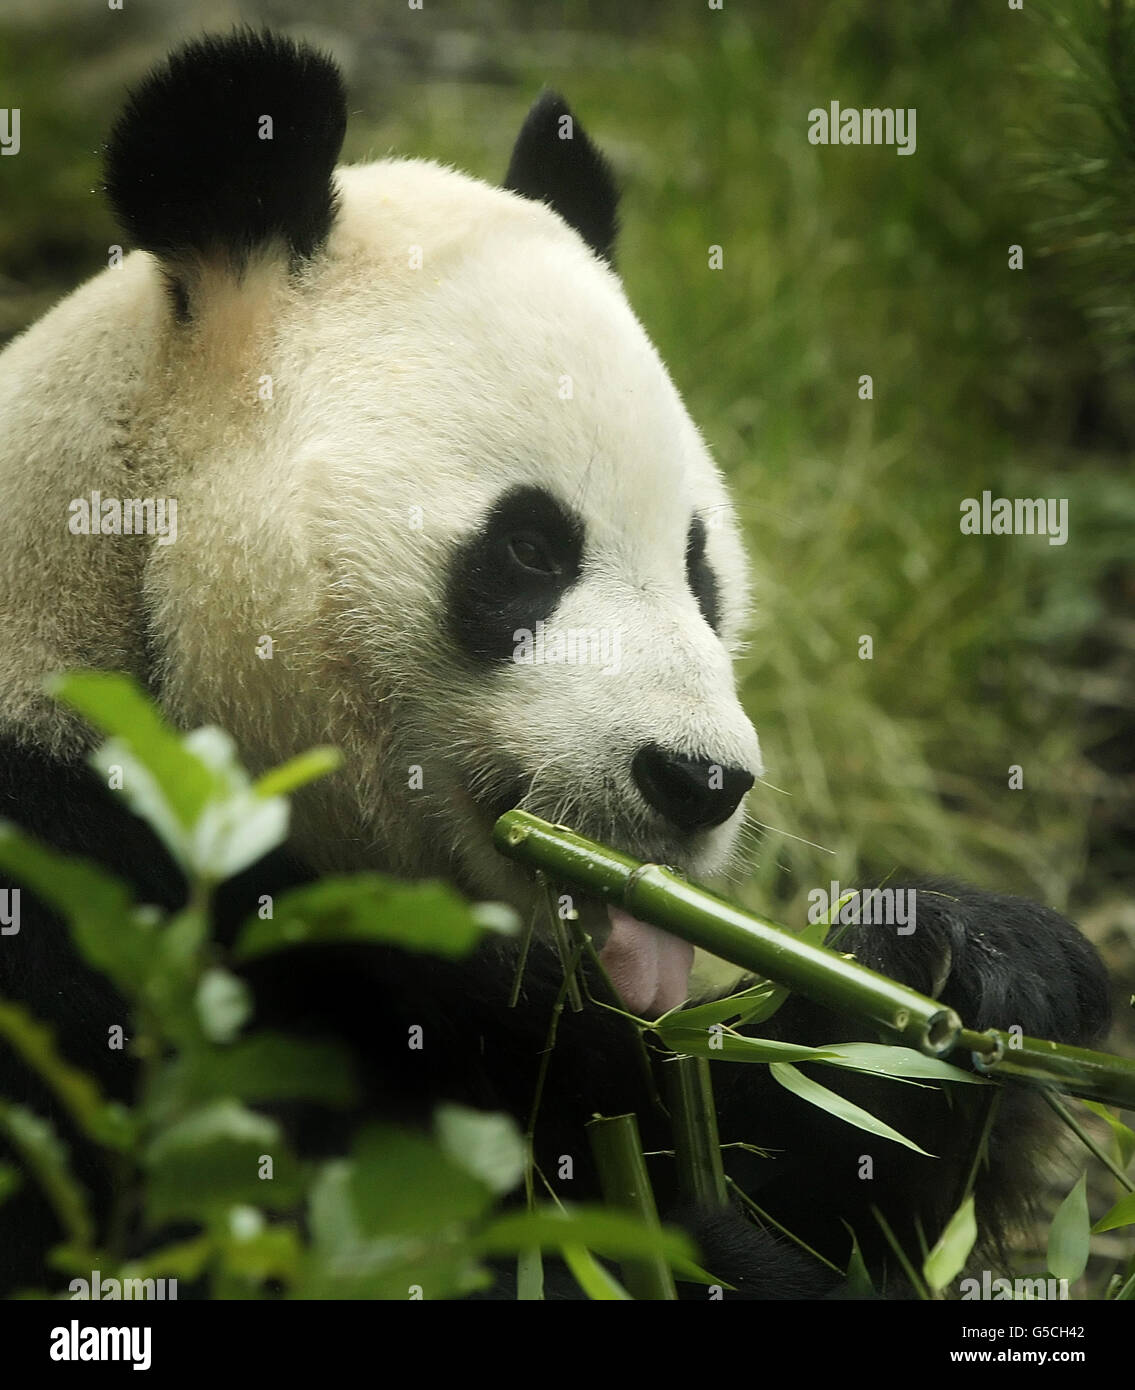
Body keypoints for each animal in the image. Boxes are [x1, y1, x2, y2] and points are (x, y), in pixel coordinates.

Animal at [0, 27, 1111, 1295]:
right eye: (530, 549)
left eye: (699, 566)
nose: (699, 781)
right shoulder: (69, 905)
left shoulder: (480, 1004)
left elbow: (738, 1126)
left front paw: (979, 970)